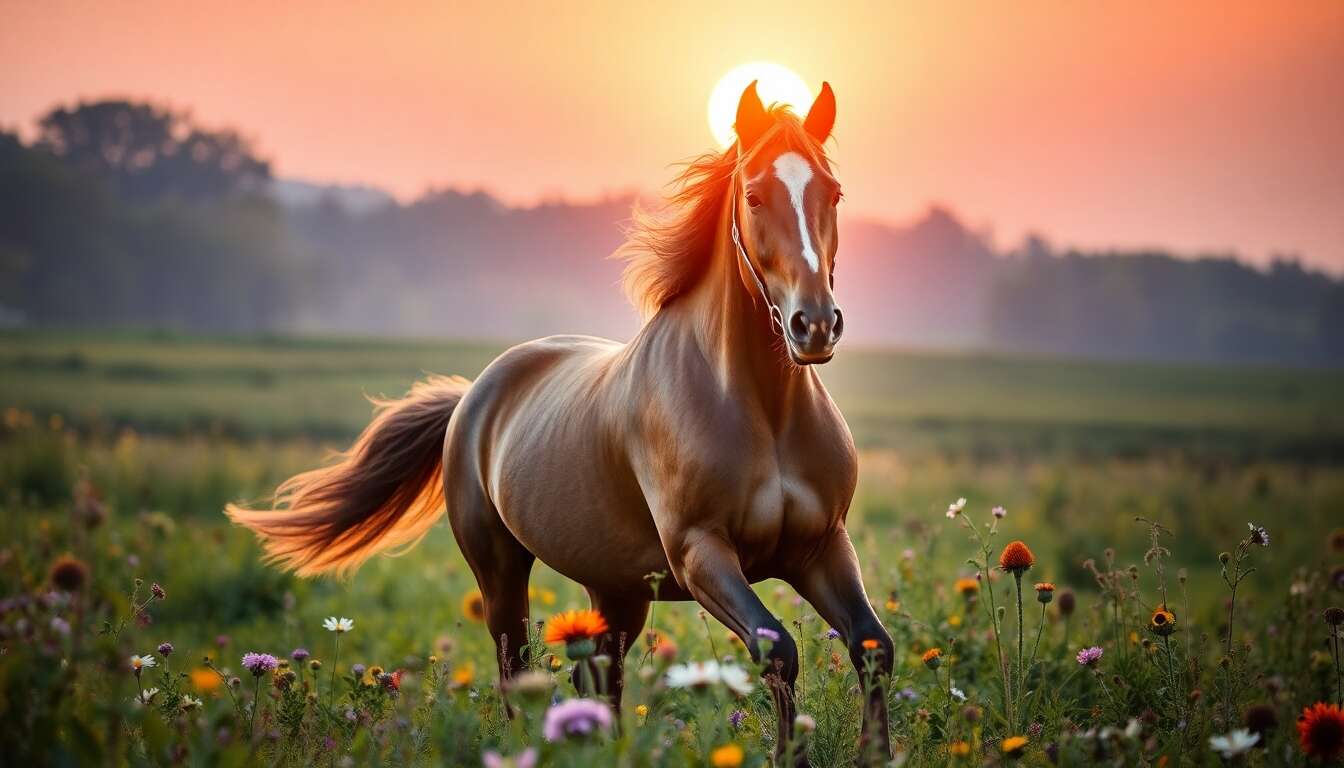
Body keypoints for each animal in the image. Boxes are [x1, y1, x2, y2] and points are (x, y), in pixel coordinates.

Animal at [227, 80, 893, 764]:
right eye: (756, 195)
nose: (815, 325)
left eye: (833, 192)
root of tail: (471, 398)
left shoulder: (821, 545)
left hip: (618, 589)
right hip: (502, 572)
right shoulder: (701, 553)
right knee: (517, 671)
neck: (760, 408)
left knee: (597, 677)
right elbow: (778, 650)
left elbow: (874, 646)